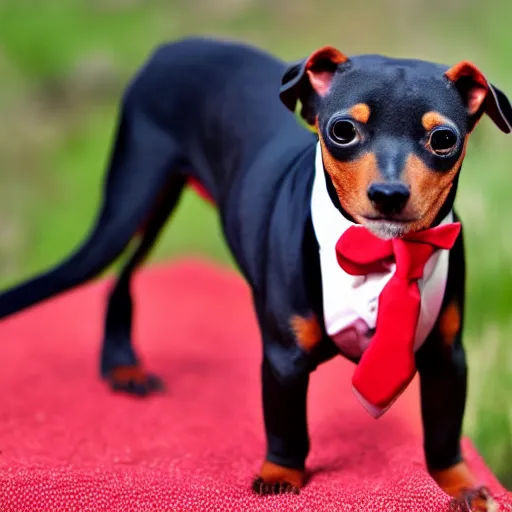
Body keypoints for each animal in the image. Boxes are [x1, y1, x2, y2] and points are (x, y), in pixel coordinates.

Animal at [1, 38, 512, 510]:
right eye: (342, 130)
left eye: (443, 139)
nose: (388, 194)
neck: (380, 252)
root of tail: (173, 47)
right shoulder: (284, 356)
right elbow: (286, 422)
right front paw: (280, 476)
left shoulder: (447, 355)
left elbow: (444, 433)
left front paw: (460, 486)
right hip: (132, 201)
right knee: (114, 270)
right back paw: (123, 366)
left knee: (123, 275)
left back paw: (123, 364)